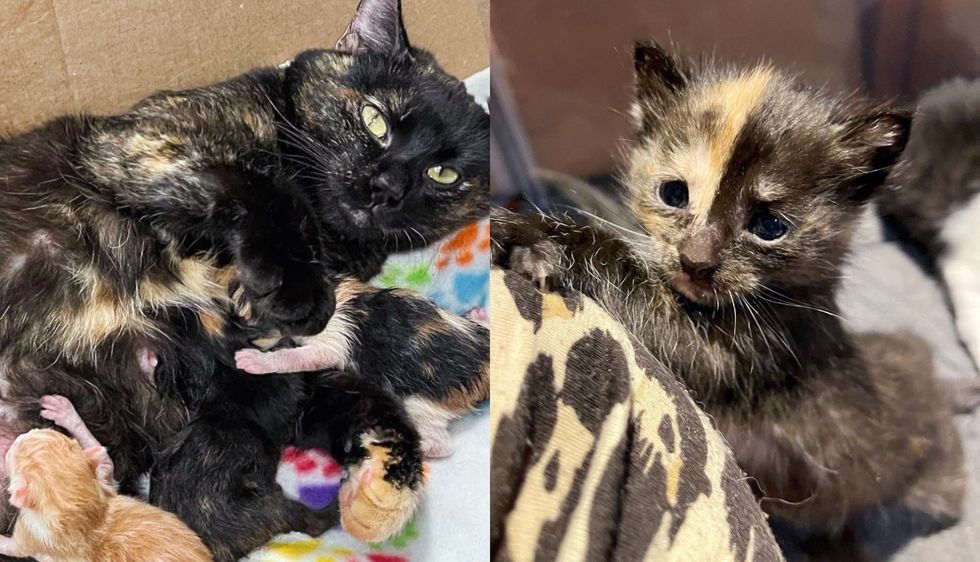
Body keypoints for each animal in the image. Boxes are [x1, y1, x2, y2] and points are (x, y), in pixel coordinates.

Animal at [2, 394, 211, 560]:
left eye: (14, 455)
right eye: (35, 433)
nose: (15, 439)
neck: (83, 510)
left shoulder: (35, 536)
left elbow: (12, 547)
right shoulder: (105, 483)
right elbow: (104, 457)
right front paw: (66, 413)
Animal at [234, 276, 486, 456]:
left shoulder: (331, 341)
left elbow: (297, 357)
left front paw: (254, 360)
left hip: (421, 405)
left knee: (441, 445)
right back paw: (479, 315)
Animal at [494, 42, 968, 556]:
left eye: (769, 226)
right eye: (673, 193)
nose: (695, 261)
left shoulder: (743, 358)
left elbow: (627, 274)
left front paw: (542, 239)